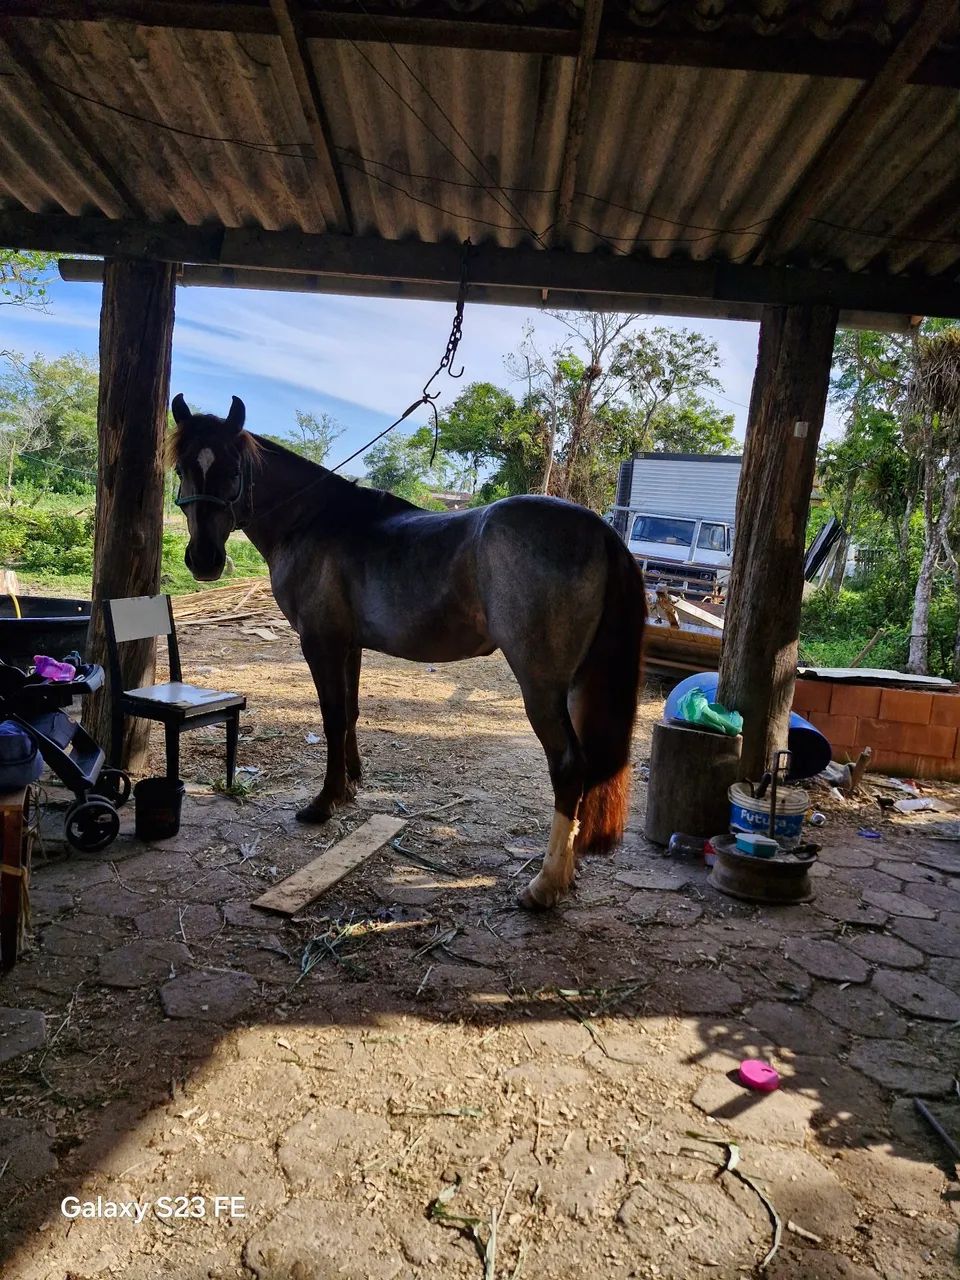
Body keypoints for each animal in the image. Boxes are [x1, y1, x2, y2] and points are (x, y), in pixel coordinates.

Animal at [169, 394, 645, 909]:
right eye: (182, 468)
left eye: (233, 469)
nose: (204, 560)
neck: (313, 518)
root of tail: (600, 531)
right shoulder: (349, 646)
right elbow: (351, 714)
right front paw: (350, 785)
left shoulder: (320, 643)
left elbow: (332, 718)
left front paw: (324, 802)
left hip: (541, 687)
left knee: (569, 767)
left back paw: (545, 884)